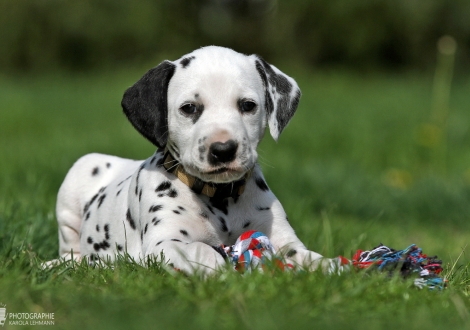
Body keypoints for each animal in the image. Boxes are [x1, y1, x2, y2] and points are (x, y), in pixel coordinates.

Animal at [54, 45, 330, 274]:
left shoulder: (283, 239)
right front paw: (221, 270)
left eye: (248, 105)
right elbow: (202, 250)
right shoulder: (164, 242)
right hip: (79, 177)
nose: (223, 149)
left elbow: (306, 256)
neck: (220, 196)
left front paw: (329, 267)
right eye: (189, 108)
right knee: (71, 251)